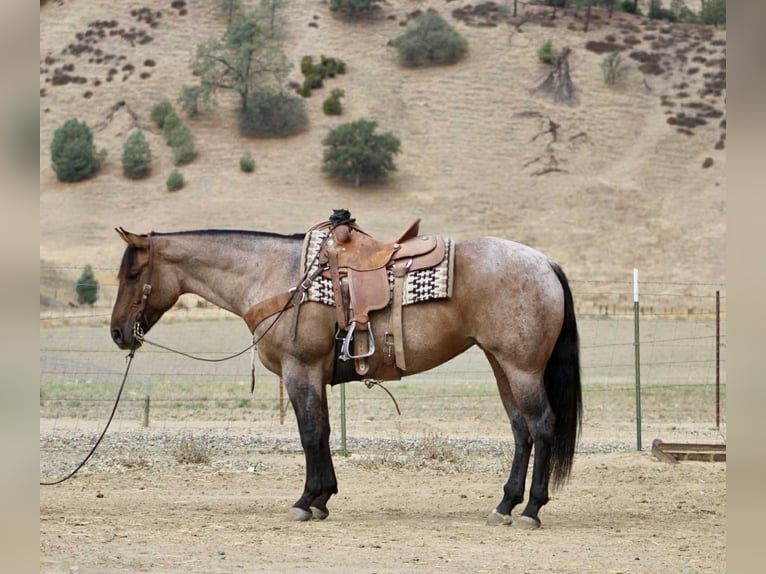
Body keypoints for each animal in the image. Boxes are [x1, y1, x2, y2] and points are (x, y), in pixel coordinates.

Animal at [110, 223, 582, 528]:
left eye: (132, 273)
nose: (117, 332)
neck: (277, 276)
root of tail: (546, 263)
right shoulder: (313, 376)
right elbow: (322, 431)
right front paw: (323, 498)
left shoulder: (299, 370)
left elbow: (310, 433)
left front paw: (307, 500)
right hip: (501, 365)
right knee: (521, 430)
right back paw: (505, 505)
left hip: (521, 368)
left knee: (541, 425)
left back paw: (531, 509)